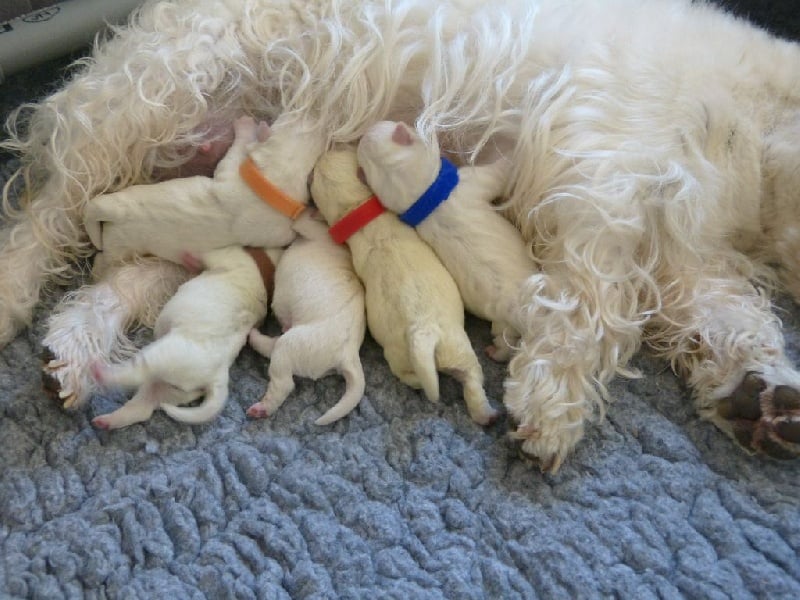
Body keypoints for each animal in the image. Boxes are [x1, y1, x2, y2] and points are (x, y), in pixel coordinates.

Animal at [91, 246, 282, 428]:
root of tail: (218, 376)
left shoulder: (226, 255)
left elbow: (204, 258)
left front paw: (188, 257)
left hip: (163, 356)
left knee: (132, 374)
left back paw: (102, 372)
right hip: (173, 389)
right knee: (142, 407)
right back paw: (106, 421)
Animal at [247, 211, 368, 426]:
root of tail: (349, 354)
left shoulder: (312, 229)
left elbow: (301, 221)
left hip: (291, 345)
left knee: (284, 382)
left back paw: (262, 408)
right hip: (296, 345)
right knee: (272, 347)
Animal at [310, 146, 496, 426]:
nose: (329, 149)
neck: (354, 209)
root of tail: (421, 333)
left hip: (412, 356)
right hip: (456, 346)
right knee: (471, 376)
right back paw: (487, 414)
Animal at [358, 119, 536, 358]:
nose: (368, 128)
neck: (426, 198)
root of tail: (517, 311)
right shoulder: (472, 181)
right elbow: (499, 172)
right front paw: (512, 151)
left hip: (501, 321)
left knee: (504, 338)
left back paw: (494, 351)